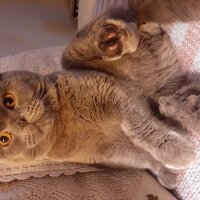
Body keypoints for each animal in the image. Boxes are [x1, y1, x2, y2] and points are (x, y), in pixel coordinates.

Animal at [0, 70, 197, 189]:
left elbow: (139, 128)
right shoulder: (109, 152)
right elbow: (145, 159)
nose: (21, 121)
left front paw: (177, 152)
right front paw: (169, 172)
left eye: (8, 100)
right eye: (4, 139)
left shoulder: (116, 95)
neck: (63, 121)